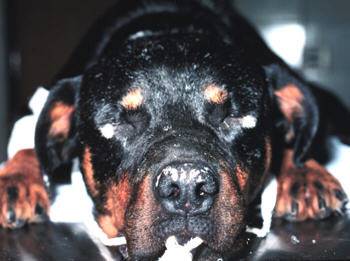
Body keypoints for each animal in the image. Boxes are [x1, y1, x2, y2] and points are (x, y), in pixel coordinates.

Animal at [0, 0, 350, 258]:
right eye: (117, 122)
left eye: (236, 117)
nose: (186, 187)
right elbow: (28, 136)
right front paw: (15, 179)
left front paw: (306, 174)